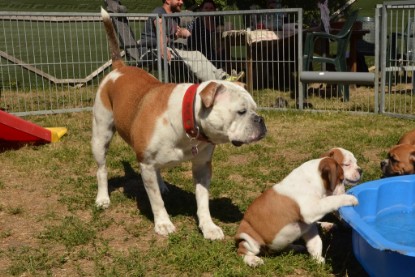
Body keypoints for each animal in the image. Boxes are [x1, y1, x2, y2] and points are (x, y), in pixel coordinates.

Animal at [92, 7, 266, 238]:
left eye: (255, 109)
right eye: (241, 111)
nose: (260, 120)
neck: (187, 120)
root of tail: (120, 68)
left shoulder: (202, 166)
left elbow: (202, 200)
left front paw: (208, 226)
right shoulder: (146, 163)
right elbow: (156, 201)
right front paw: (163, 223)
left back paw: (162, 185)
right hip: (100, 136)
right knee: (102, 169)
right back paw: (103, 198)